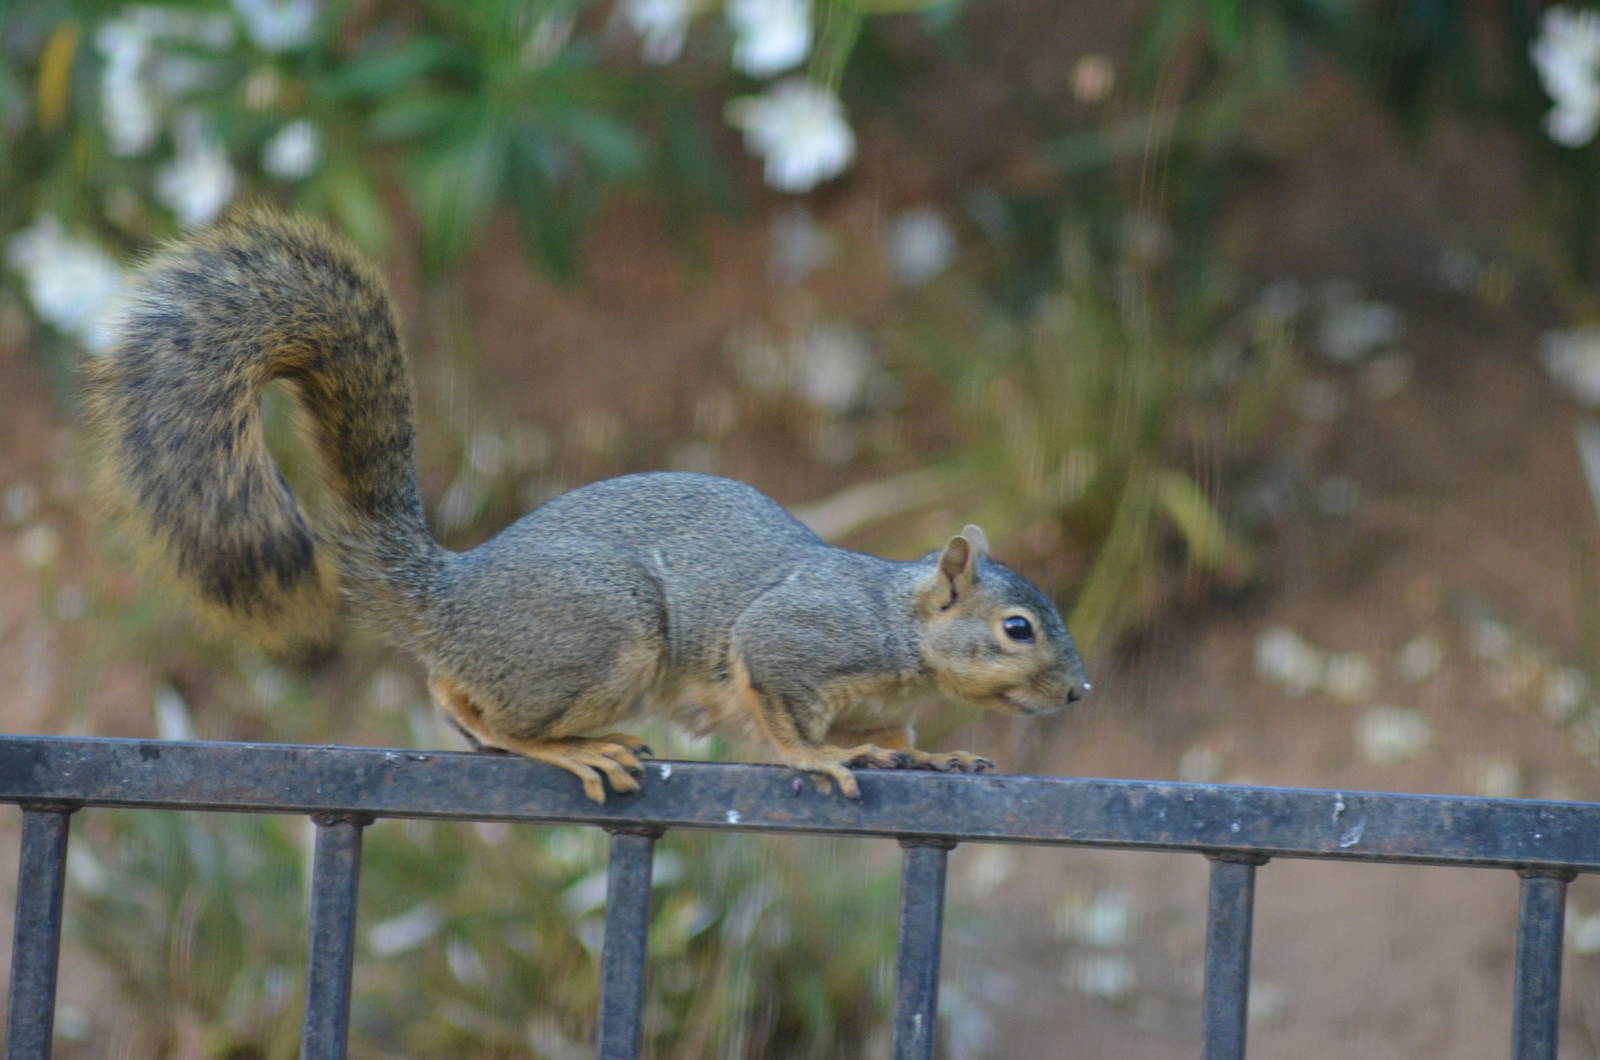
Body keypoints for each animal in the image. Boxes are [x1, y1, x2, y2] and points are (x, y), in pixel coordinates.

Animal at [84, 209, 1091, 803]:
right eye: (1016, 629)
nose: (1080, 691)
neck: (897, 624)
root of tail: (447, 595)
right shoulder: (795, 641)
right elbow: (780, 711)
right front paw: (819, 760)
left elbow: (890, 736)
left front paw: (926, 755)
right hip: (607, 629)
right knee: (480, 699)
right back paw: (574, 749)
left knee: (452, 689)